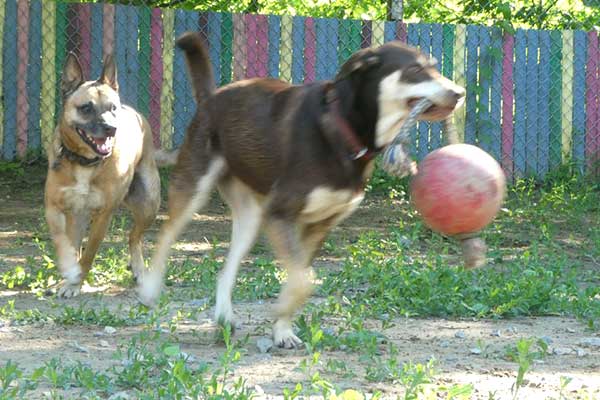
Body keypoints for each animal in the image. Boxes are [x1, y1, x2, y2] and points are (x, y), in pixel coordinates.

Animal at [45, 53, 162, 296]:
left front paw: (75, 282)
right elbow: (62, 243)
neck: (85, 162)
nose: (111, 128)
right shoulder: (54, 207)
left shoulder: (103, 215)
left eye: (112, 108)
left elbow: (89, 253)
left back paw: (139, 269)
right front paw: (68, 273)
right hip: (78, 216)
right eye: (86, 108)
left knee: (134, 236)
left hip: (148, 204)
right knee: (76, 242)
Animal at [136, 33, 464, 346]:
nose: (460, 93)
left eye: (434, 66)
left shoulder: (319, 224)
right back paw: (150, 288)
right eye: (415, 70)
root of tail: (211, 97)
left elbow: (300, 278)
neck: (345, 127)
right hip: (195, 187)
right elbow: (303, 281)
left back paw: (224, 315)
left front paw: (282, 328)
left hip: (251, 218)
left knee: (225, 268)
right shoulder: (281, 213)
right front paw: (281, 314)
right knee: (166, 234)